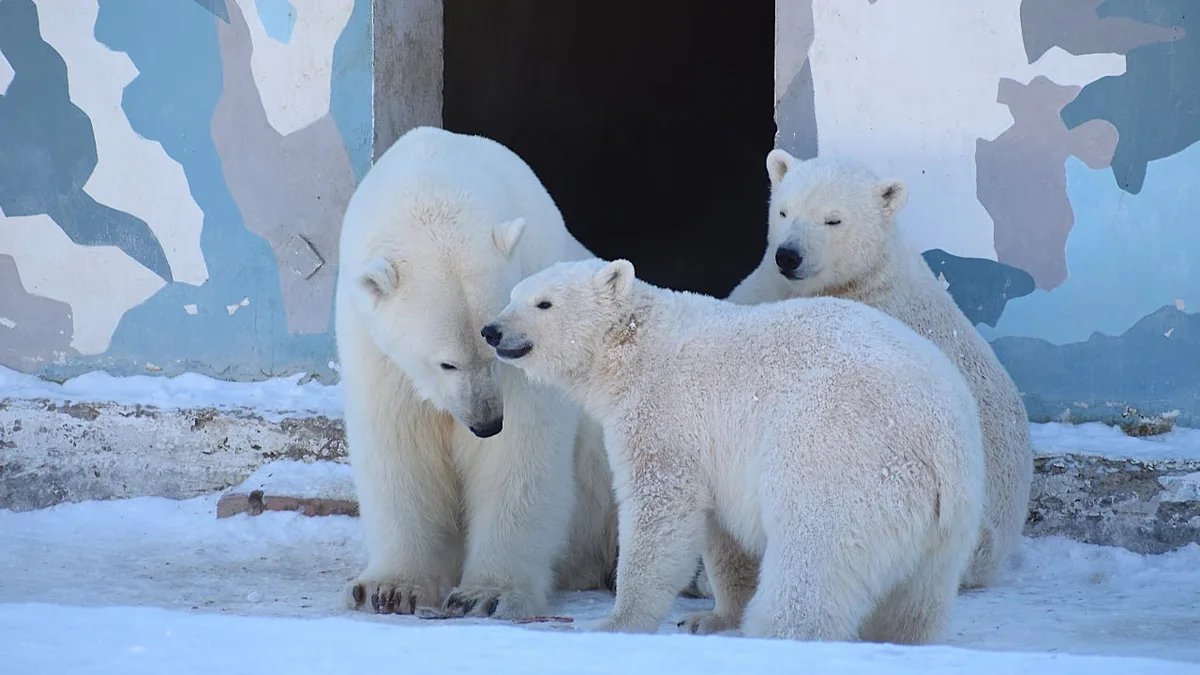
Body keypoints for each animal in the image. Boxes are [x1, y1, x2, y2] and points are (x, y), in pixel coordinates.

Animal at [336, 123, 619, 619]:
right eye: (446, 362)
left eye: (495, 344)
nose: (486, 423)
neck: (435, 179)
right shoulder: (374, 348)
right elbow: (398, 446)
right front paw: (389, 589)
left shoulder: (534, 335)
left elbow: (518, 455)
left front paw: (486, 595)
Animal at [477, 254, 984, 638]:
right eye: (512, 295)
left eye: (543, 302)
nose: (492, 331)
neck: (635, 345)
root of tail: (939, 438)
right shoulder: (719, 452)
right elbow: (723, 534)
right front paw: (711, 618)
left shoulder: (666, 413)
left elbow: (660, 509)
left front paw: (617, 622)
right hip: (949, 522)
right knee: (918, 599)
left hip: (839, 457)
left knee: (813, 556)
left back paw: (779, 631)